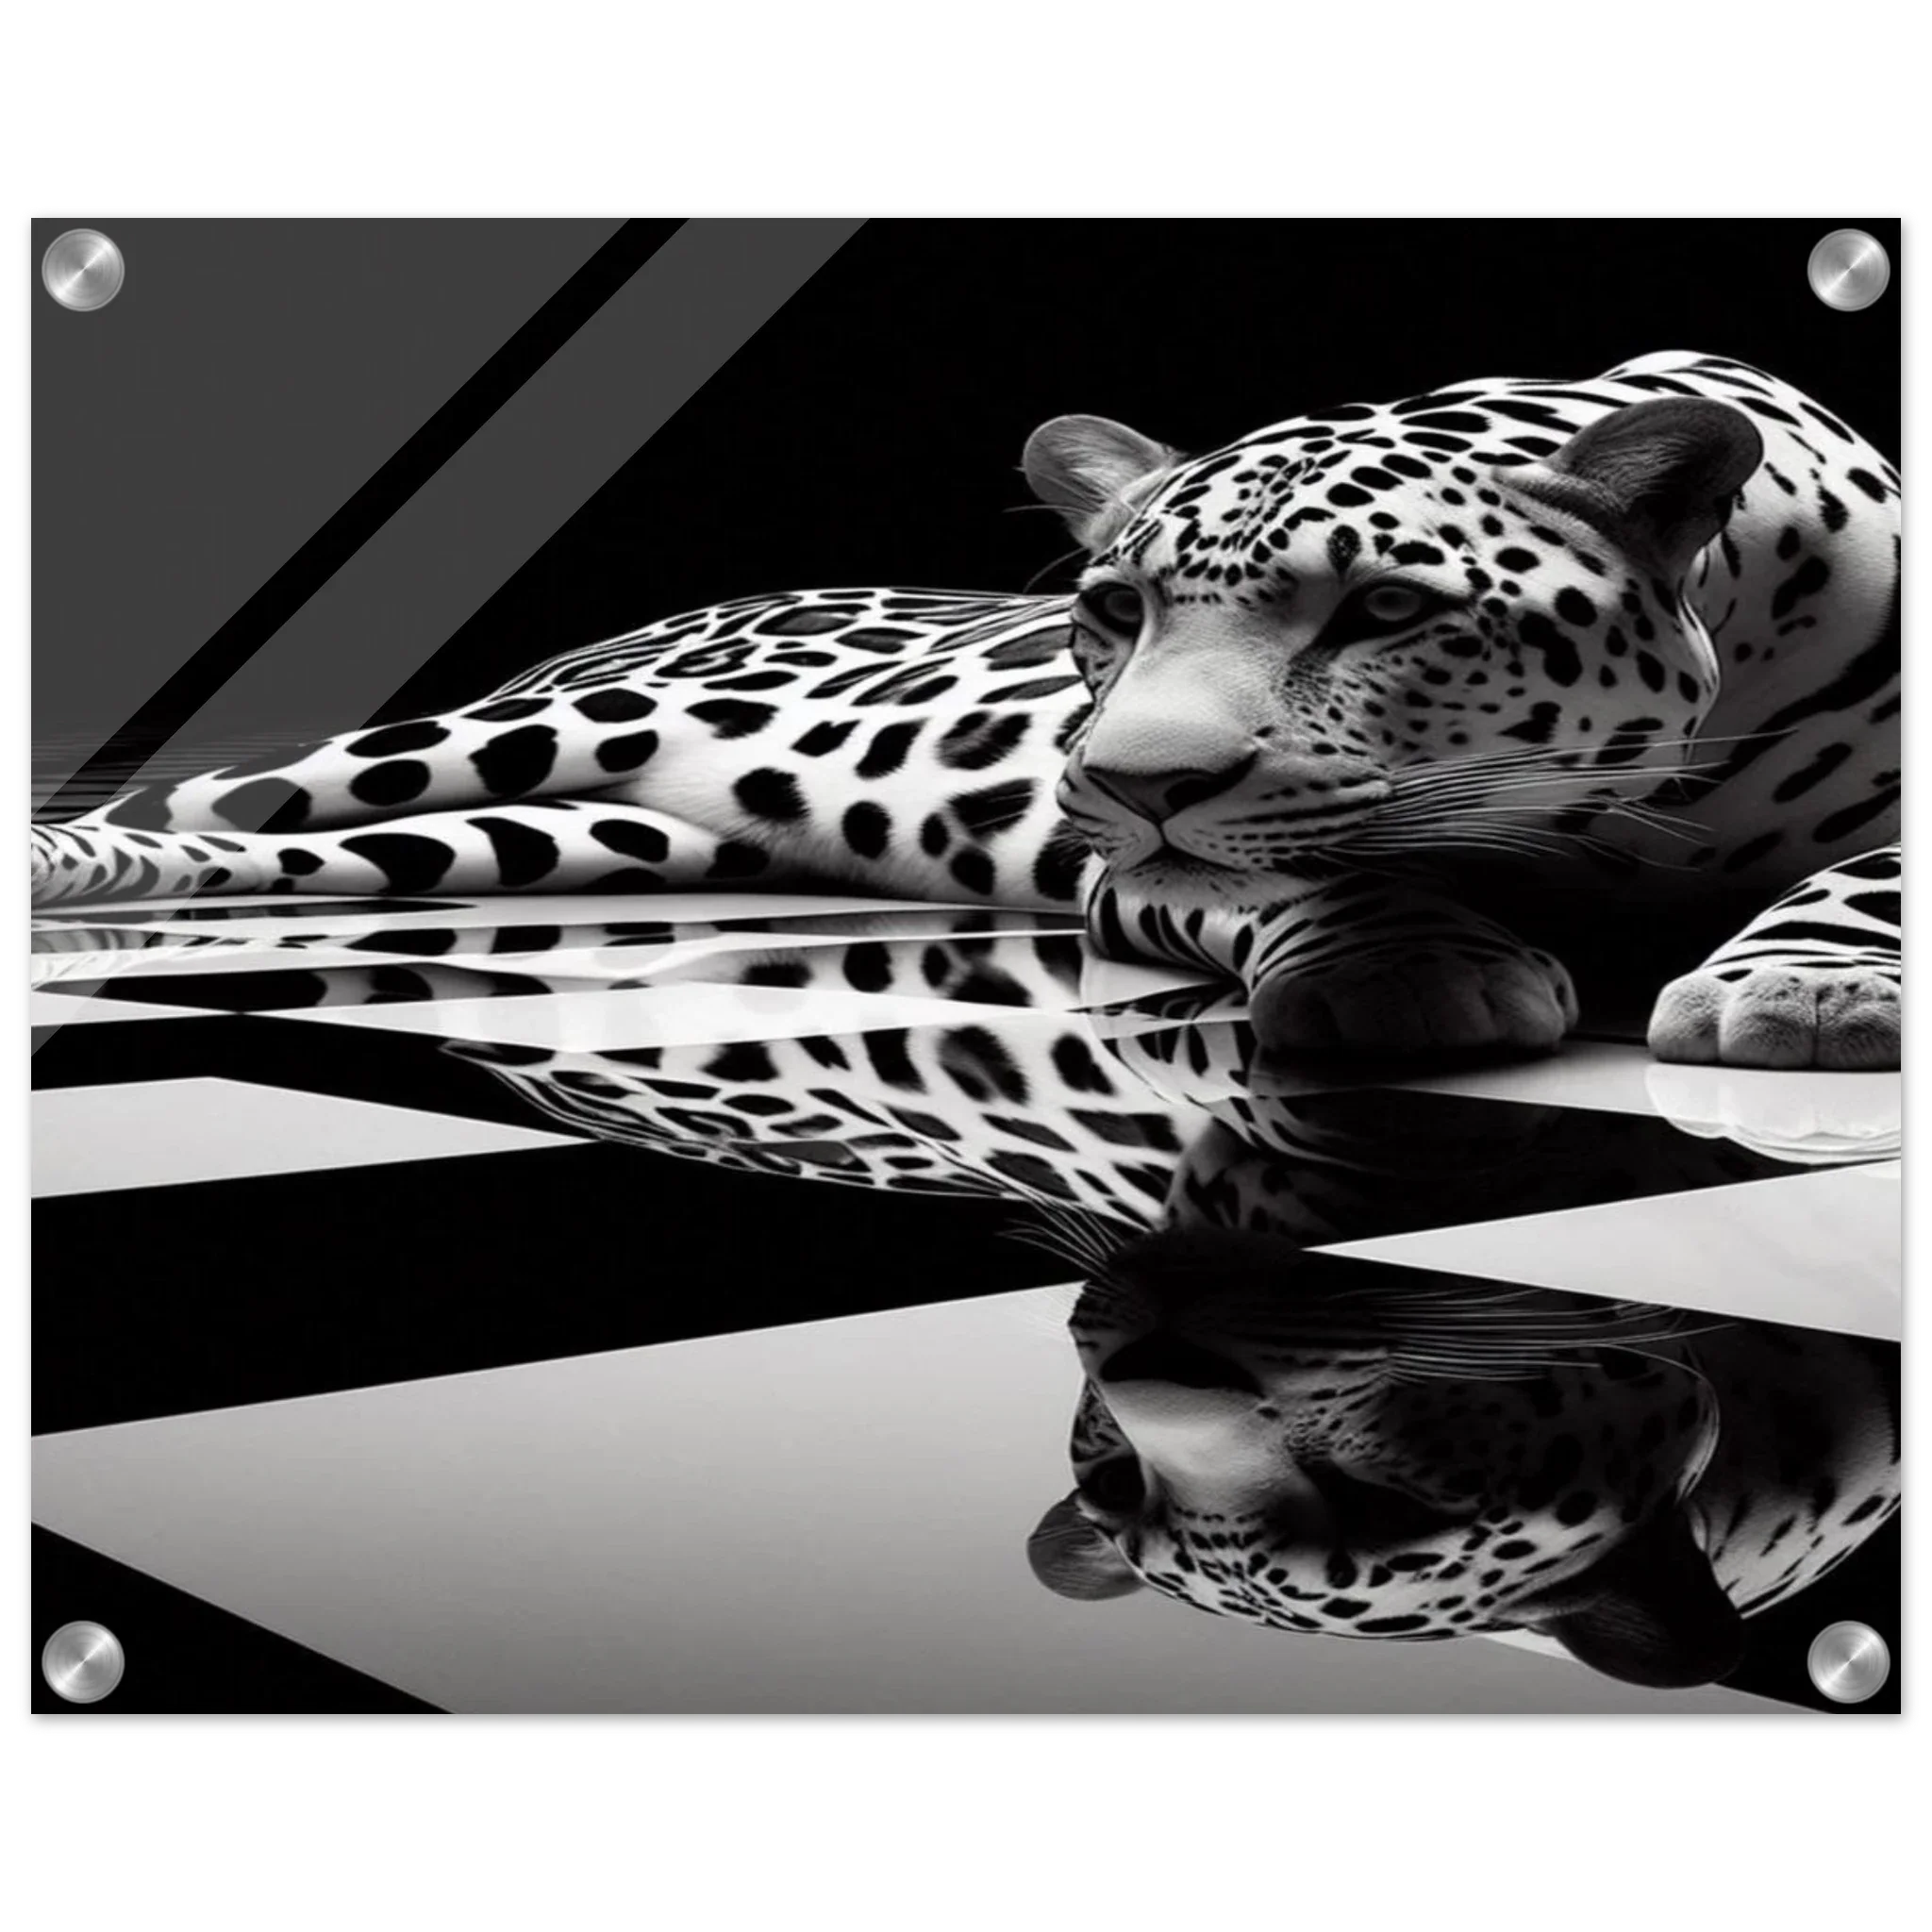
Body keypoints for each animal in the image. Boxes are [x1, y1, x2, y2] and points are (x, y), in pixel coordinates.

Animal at [29, 350, 1902, 1071]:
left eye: (1384, 609)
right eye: (1113, 610)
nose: (1126, 779)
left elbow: (1871, 871)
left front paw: (1806, 987)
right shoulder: (1144, 878)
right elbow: (1312, 871)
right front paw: (1409, 967)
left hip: (554, 833)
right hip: (505, 738)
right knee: (204, 800)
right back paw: (75, 875)